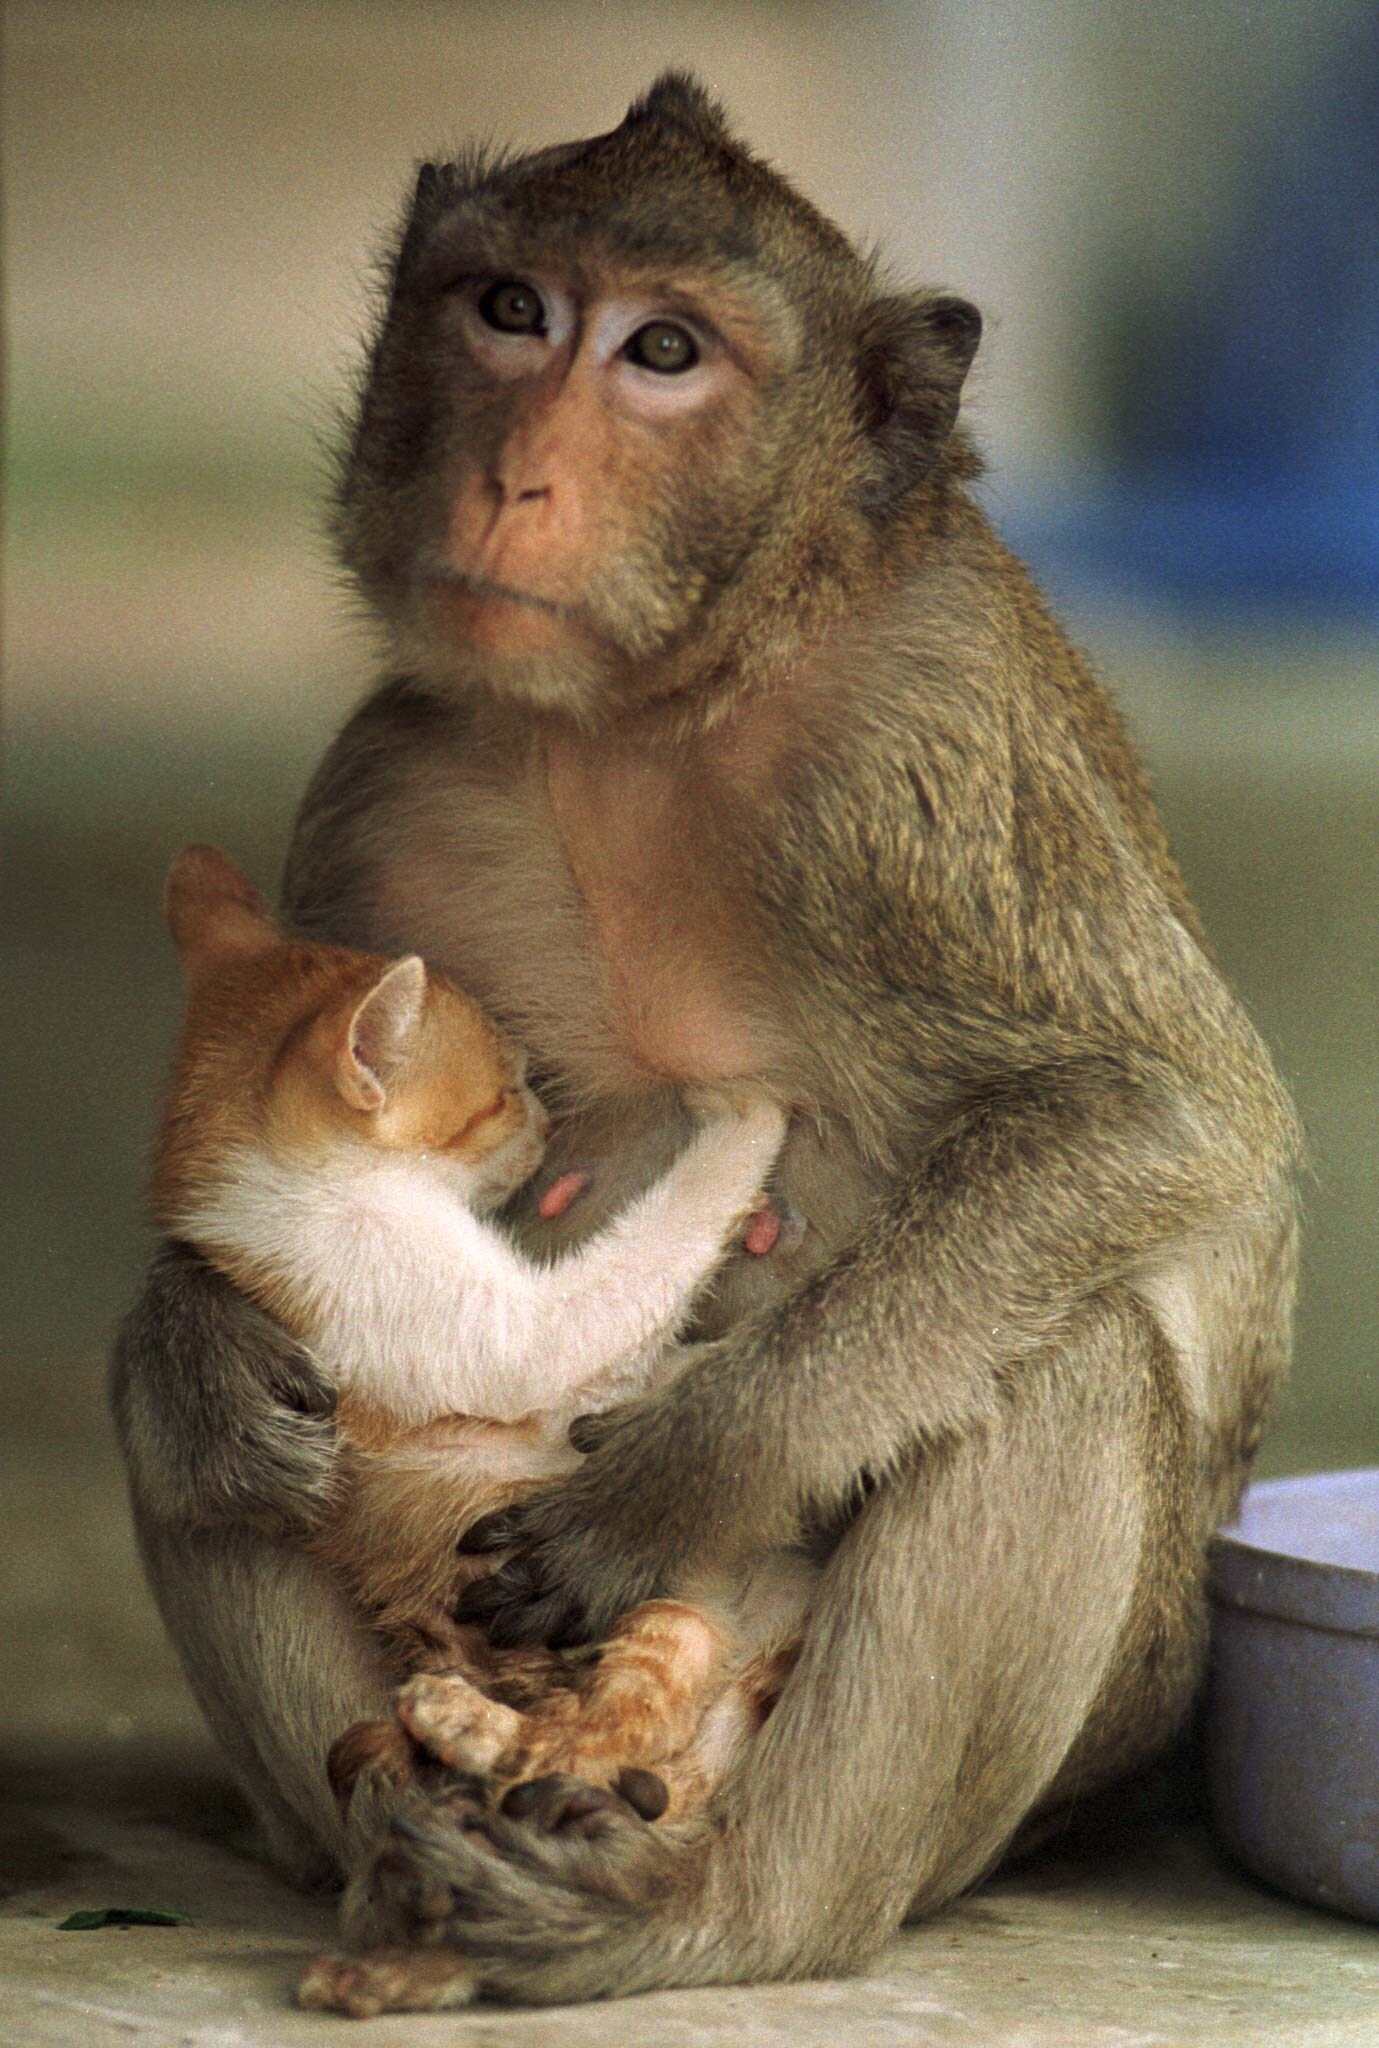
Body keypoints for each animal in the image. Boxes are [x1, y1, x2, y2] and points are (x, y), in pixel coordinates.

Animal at [112, 72, 1294, 2007]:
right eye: (509, 310)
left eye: (661, 351)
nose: (513, 474)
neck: (649, 714)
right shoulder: (386, 772)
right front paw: (199, 1339)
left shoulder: (917, 752)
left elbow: (1152, 1116)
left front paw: (683, 1474)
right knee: (219, 1463)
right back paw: (393, 1846)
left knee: (1067, 1347)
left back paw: (711, 1910)